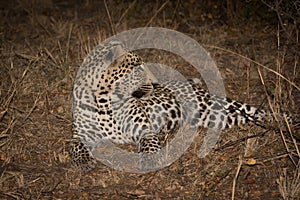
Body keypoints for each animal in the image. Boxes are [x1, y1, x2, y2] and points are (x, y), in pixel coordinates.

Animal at [68, 40, 296, 170]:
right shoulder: (80, 134)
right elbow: (73, 145)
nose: (156, 83)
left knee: (259, 111)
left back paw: (288, 122)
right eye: (139, 68)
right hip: (218, 118)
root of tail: (189, 82)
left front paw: (150, 160)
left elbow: (149, 144)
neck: (105, 103)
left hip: (214, 105)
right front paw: (84, 161)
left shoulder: (145, 130)